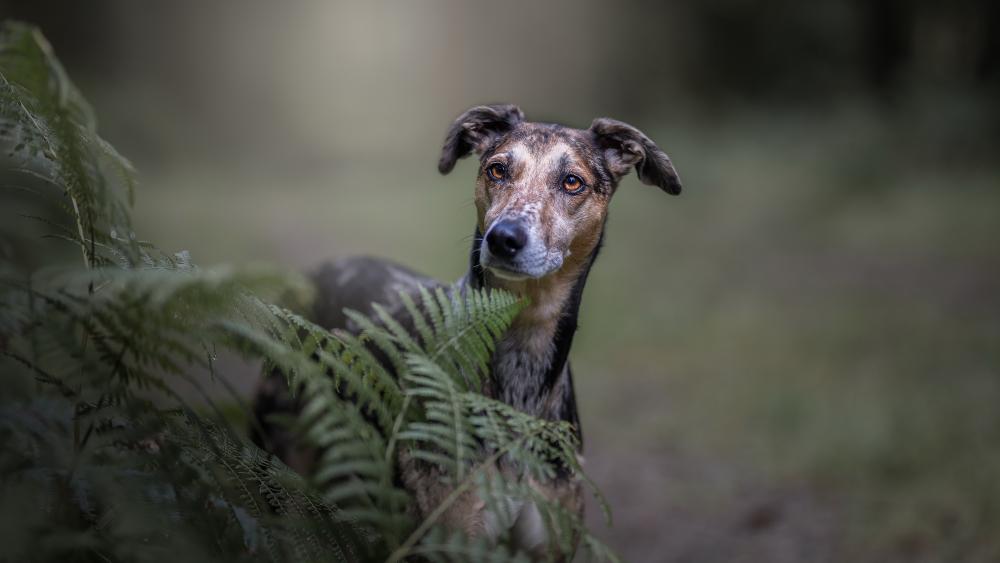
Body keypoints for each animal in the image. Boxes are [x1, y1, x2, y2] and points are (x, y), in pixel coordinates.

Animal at [254, 103, 684, 556]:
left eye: (572, 181)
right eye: (497, 170)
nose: (504, 238)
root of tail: (313, 274)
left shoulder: (551, 540)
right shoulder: (450, 535)